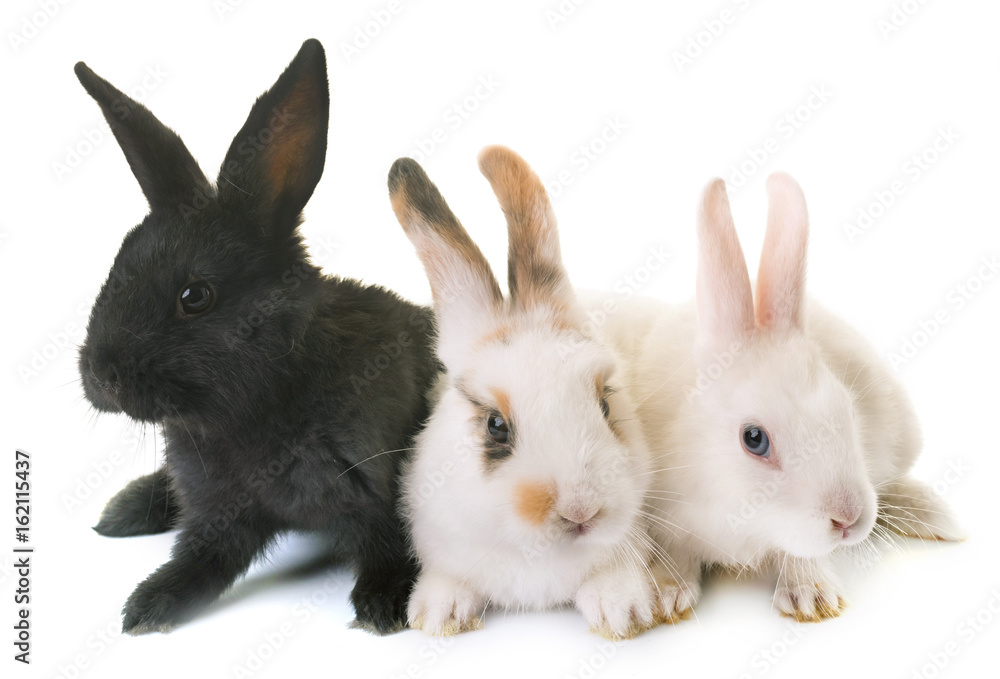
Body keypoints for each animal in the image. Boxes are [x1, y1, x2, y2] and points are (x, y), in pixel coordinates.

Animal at [74, 39, 441, 635]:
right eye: (116, 264)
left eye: (195, 296)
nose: (100, 376)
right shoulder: (218, 511)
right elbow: (202, 561)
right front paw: (149, 607)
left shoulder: (383, 488)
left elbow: (394, 545)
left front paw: (382, 606)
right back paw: (122, 512)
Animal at [595, 173, 964, 624]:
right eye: (754, 439)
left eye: (848, 411)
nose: (848, 519)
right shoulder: (670, 518)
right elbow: (677, 555)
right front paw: (667, 595)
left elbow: (800, 554)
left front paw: (811, 597)